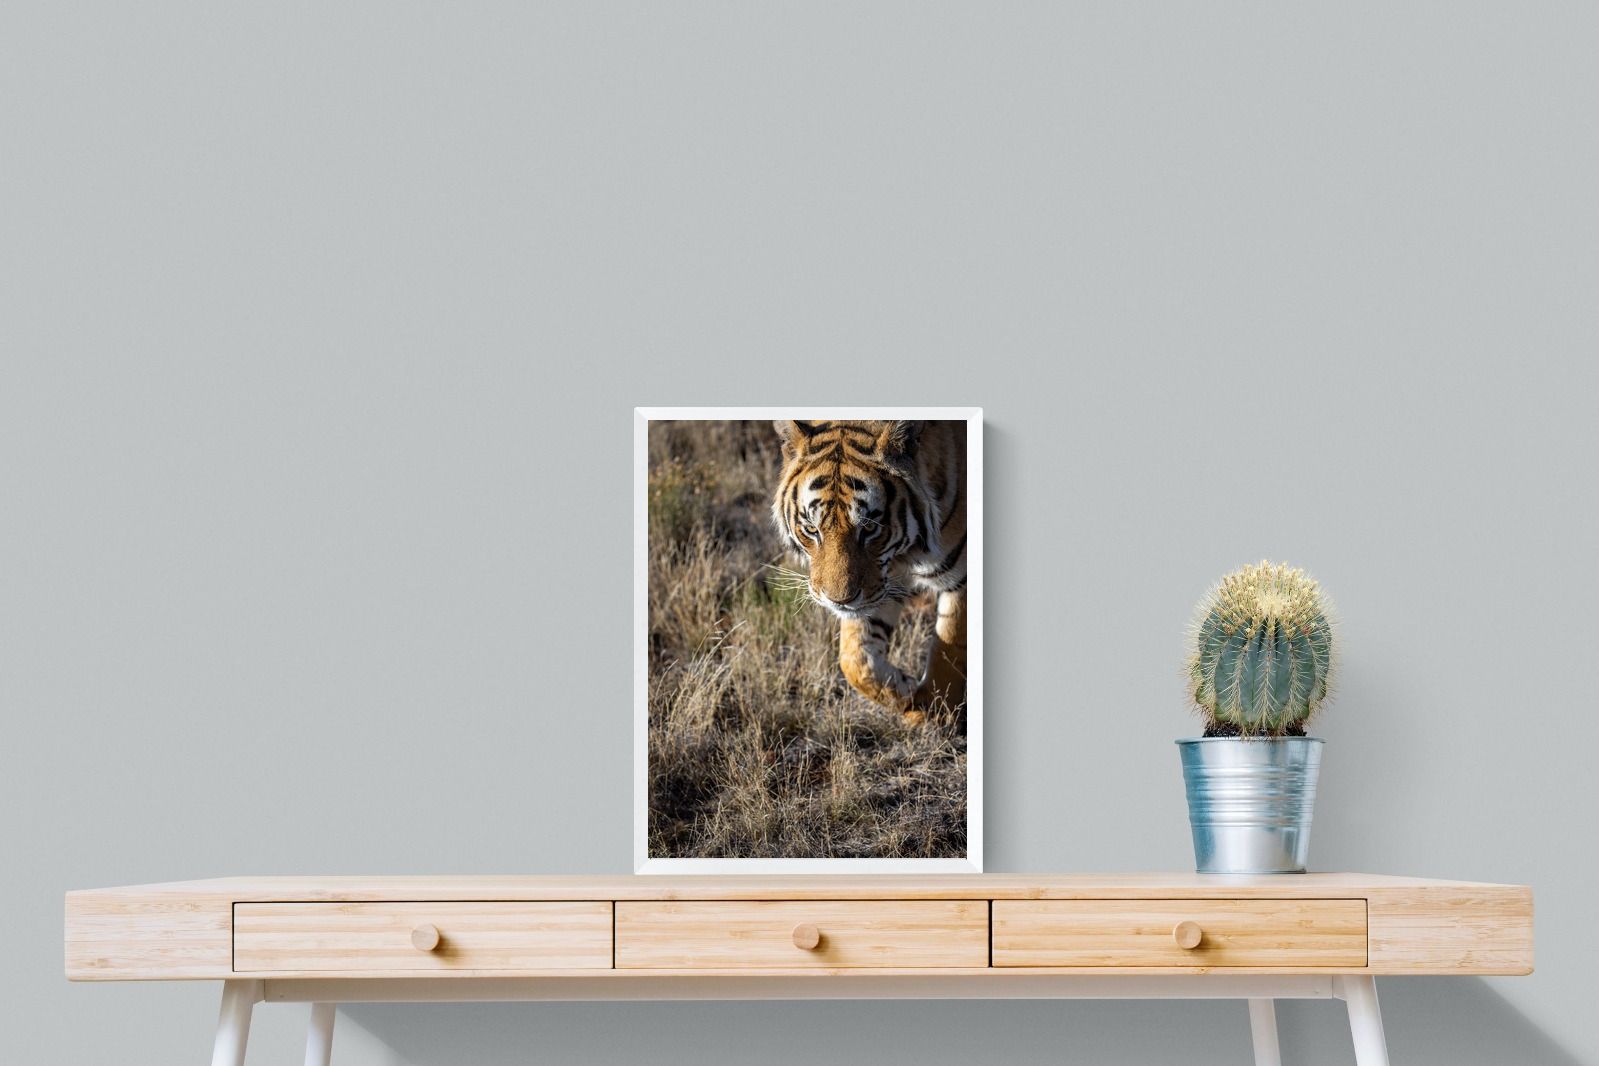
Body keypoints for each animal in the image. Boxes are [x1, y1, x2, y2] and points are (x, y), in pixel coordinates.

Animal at [771, 419, 967, 722]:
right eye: (812, 529)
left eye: (869, 528)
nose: (838, 601)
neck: (906, 553)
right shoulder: (881, 583)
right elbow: (854, 660)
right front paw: (907, 693)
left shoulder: (961, 577)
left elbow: (949, 646)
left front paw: (934, 713)